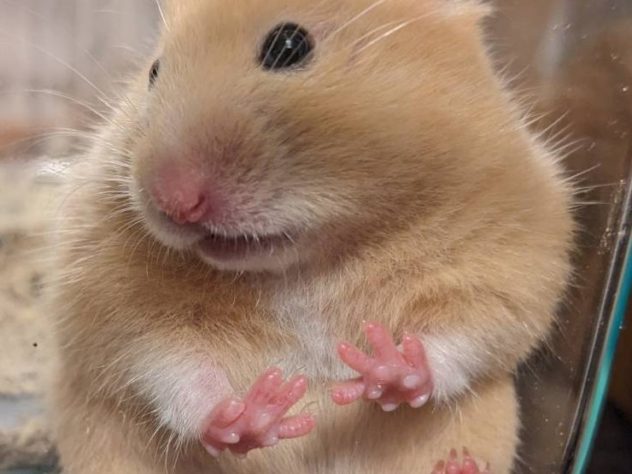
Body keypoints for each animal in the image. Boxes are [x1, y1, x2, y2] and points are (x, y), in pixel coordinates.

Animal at [50, 0, 574, 473]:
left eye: (288, 46)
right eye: (154, 72)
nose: (174, 200)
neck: (303, 263)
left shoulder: (507, 266)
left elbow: (463, 336)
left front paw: (385, 368)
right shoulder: (118, 310)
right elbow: (171, 366)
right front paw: (255, 415)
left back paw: (460, 465)